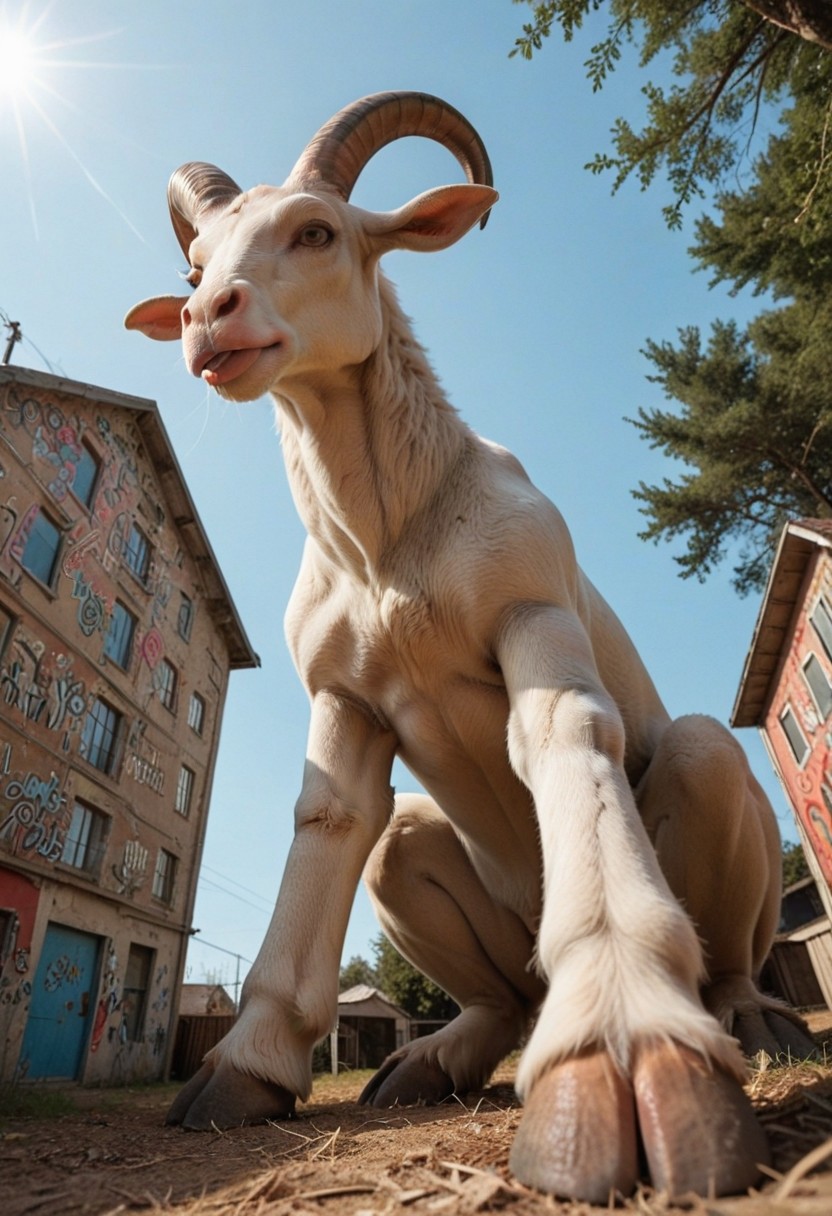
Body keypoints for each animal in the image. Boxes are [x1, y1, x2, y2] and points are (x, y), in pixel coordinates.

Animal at [126, 92, 811, 1203]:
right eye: (191, 272)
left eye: (316, 230)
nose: (208, 319)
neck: (389, 545)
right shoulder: (345, 699)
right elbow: (331, 817)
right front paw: (243, 1067)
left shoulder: (528, 612)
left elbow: (566, 730)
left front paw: (618, 1038)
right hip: (453, 897)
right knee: (467, 946)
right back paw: (431, 1057)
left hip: (713, 783)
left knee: (723, 896)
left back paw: (751, 1017)